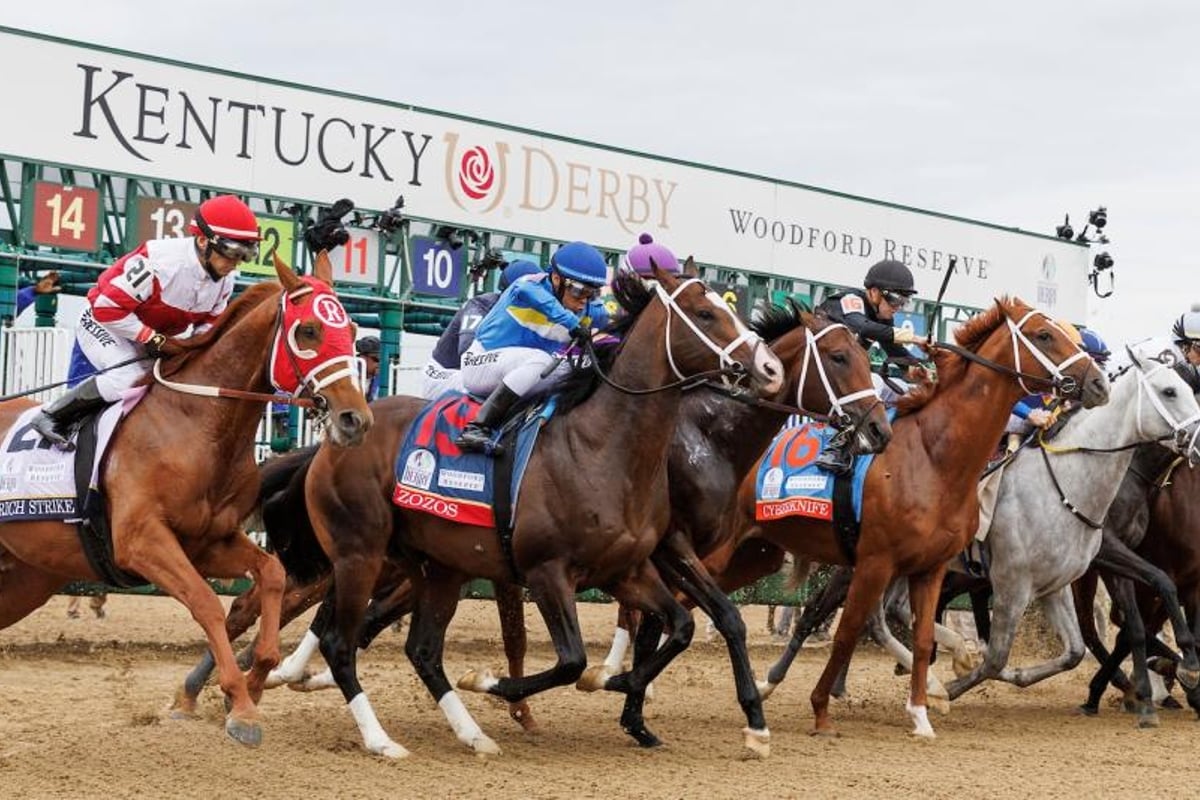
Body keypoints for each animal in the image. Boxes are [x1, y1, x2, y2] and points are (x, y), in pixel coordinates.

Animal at [0, 253, 369, 748]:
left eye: (350, 330)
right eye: (308, 330)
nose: (355, 419)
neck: (196, 425)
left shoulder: (210, 541)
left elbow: (271, 576)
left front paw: (257, 678)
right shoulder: (141, 542)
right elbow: (206, 602)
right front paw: (239, 707)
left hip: (25, 578)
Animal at [300, 266, 787, 762]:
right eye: (706, 313)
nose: (770, 368)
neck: (601, 448)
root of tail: (337, 435)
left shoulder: (626, 570)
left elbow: (683, 626)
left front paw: (620, 688)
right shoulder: (547, 571)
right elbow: (572, 660)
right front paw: (490, 679)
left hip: (438, 565)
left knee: (422, 650)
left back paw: (472, 734)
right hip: (360, 553)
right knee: (340, 642)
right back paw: (377, 736)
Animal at [705, 298, 1108, 738]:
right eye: (1044, 335)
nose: (1099, 383)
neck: (935, 458)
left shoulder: (931, 567)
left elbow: (923, 638)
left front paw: (922, 712)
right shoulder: (878, 562)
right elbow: (849, 631)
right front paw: (821, 709)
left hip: (756, 552)